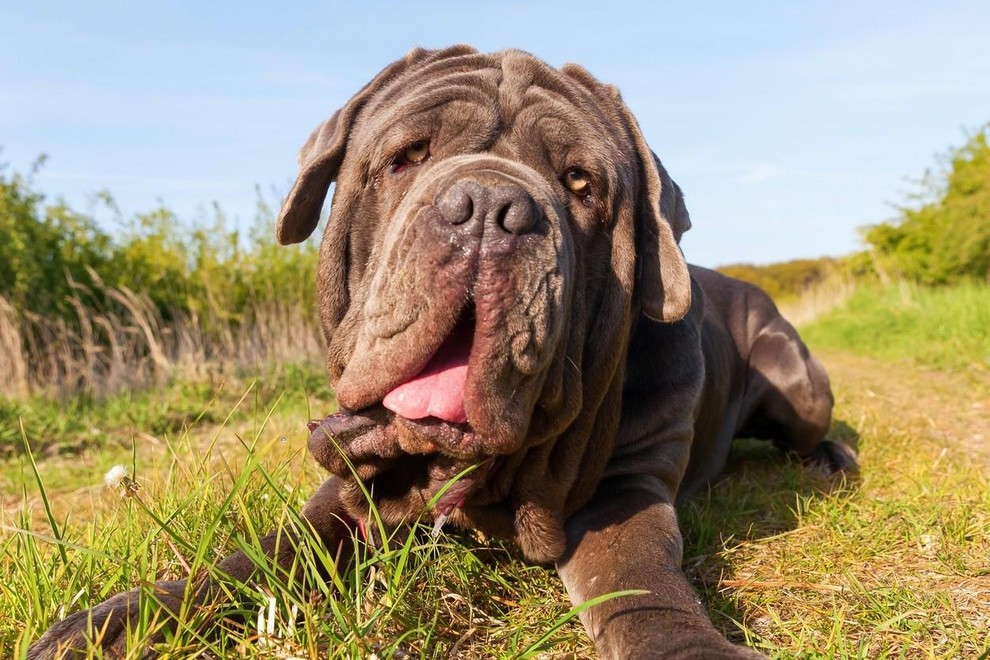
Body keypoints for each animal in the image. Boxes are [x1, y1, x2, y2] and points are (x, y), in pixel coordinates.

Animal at [29, 43, 852, 656]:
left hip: (796, 379)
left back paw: (830, 458)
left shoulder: (629, 491)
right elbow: (261, 556)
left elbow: (644, 587)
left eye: (580, 183)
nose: (491, 206)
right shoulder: (348, 495)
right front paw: (117, 621)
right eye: (406, 157)